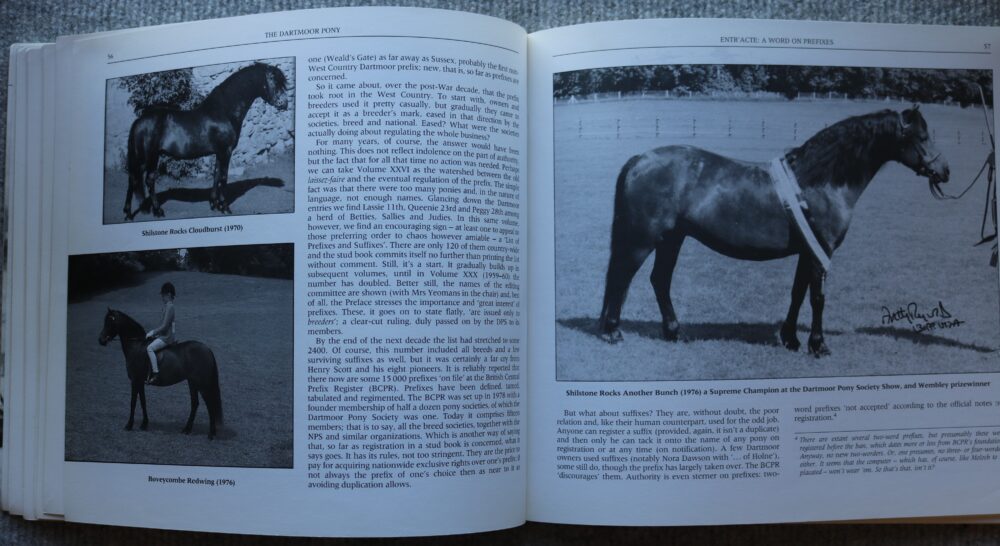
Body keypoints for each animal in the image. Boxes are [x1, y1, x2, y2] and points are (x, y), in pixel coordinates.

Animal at [98, 308, 223, 439]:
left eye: (110, 321)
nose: (101, 340)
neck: (136, 346)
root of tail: (207, 349)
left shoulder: (135, 381)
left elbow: (133, 402)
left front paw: (129, 425)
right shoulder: (140, 382)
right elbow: (143, 401)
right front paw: (144, 424)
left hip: (202, 384)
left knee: (210, 404)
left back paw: (211, 434)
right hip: (192, 383)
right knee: (195, 404)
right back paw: (187, 429)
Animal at [123, 62, 289, 219]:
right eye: (273, 79)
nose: (284, 103)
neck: (224, 111)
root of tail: (139, 121)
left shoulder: (219, 153)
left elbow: (216, 175)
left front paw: (214, 204)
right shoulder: (225, 151)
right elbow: (223, 177)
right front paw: (225, 207)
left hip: (143, 158)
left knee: (133, 179)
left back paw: (128, 214)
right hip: (151, 157)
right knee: (148, 180)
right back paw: (157, 211)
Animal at [597, 106, 950, 356]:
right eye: (921, 138)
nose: (944, 171)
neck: (822, 180)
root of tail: (639, 159)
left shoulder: (807, 251)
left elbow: (798, 293)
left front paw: (791, 339)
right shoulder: (821, 251)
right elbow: (818, 297)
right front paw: (818, 345)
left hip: (672, 239)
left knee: (659, 280)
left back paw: (674, 331)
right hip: (643, 238)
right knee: (622, 276)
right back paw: (613, 331)